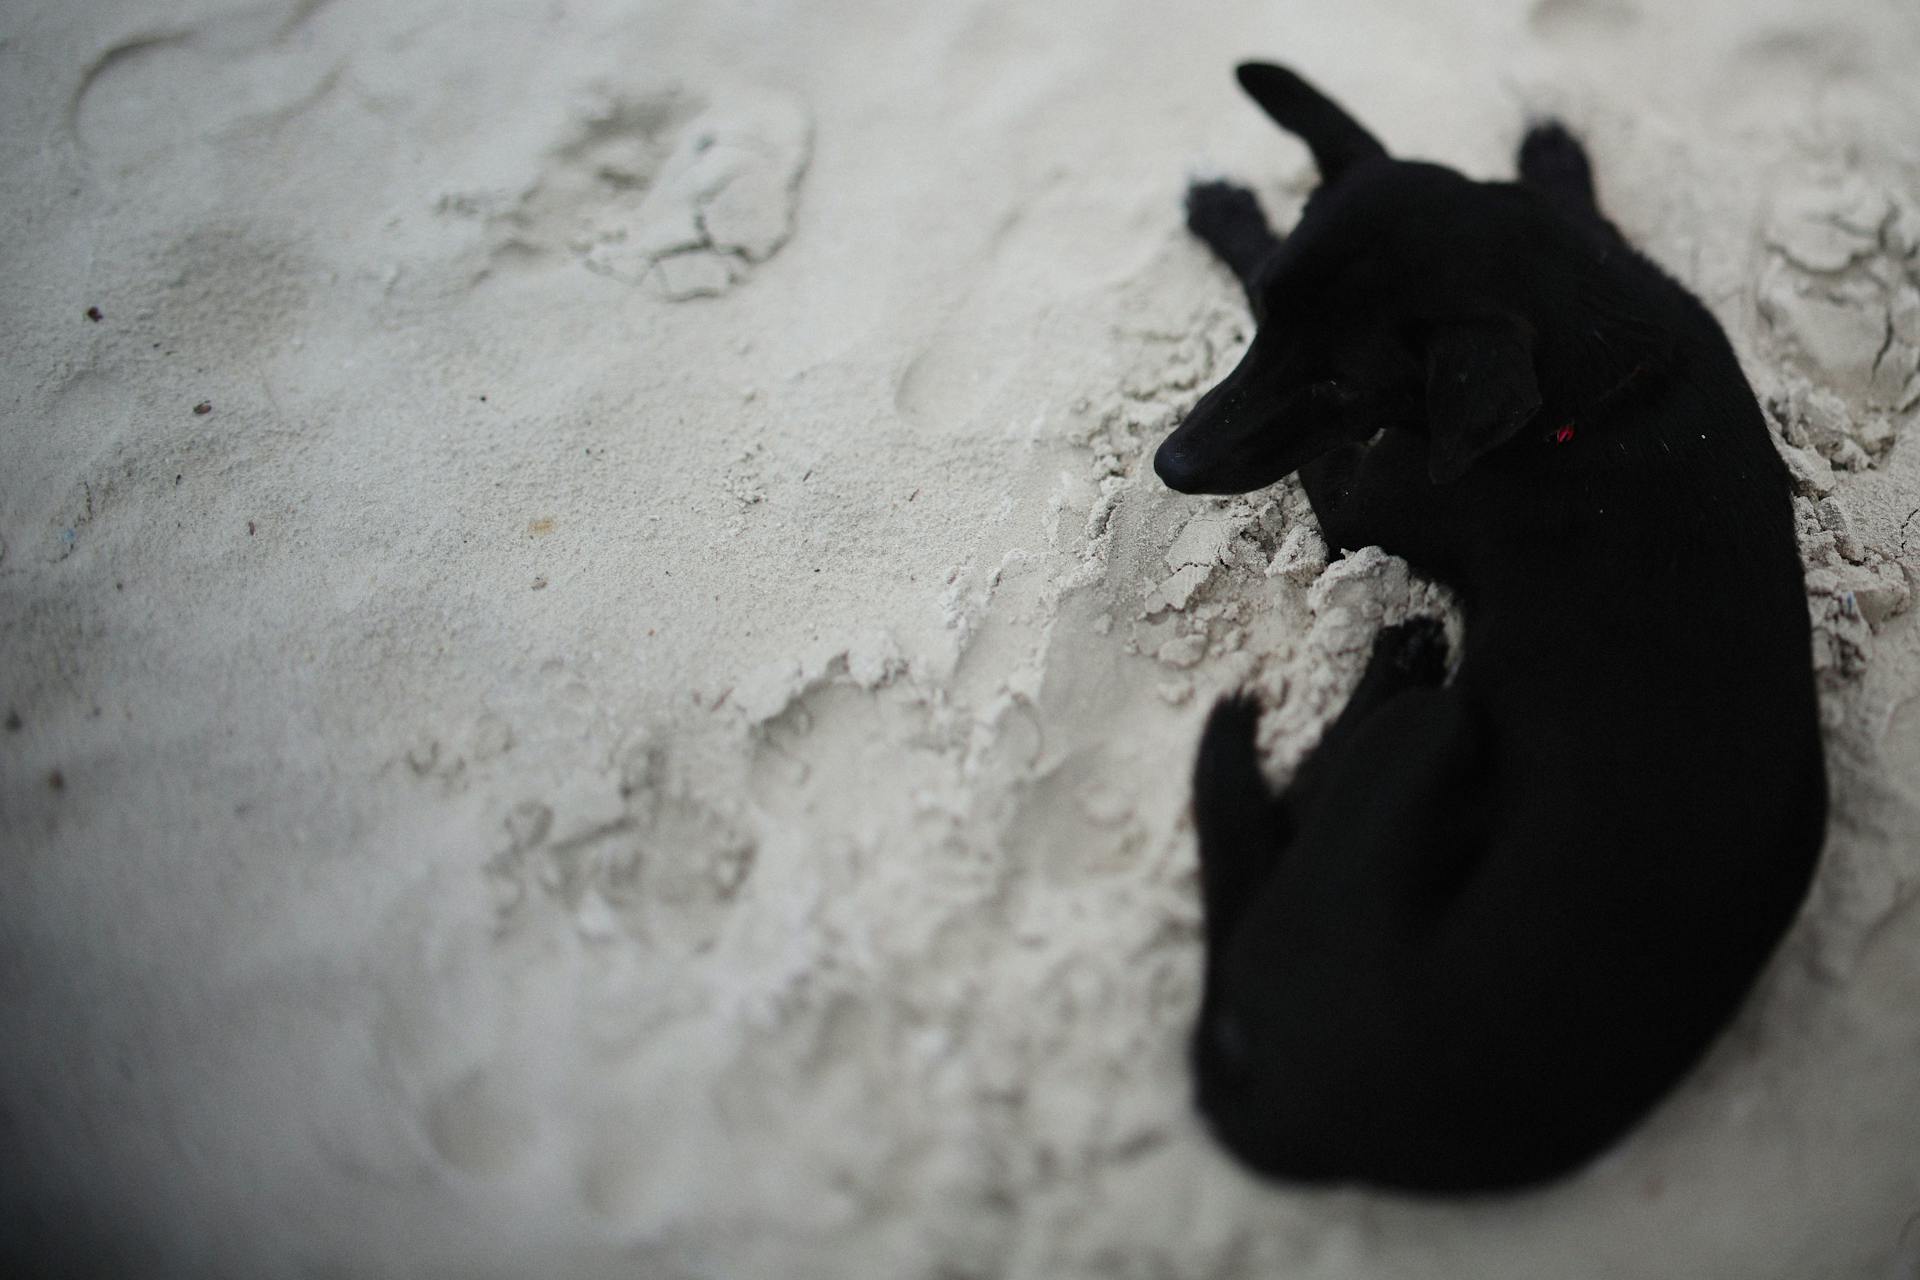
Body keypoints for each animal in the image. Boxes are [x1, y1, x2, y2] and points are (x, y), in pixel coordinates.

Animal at [1159, 65, 1820, 1197]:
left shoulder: (1364, 495)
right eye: (1265, 319)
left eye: (1340, 381)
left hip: (1431, 736)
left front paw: (1229, 218)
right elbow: (1573, 202)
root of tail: (1272, 1102)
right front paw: (1552, 157)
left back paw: (1398, 657)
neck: (1606, 375)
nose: (1172, 462)